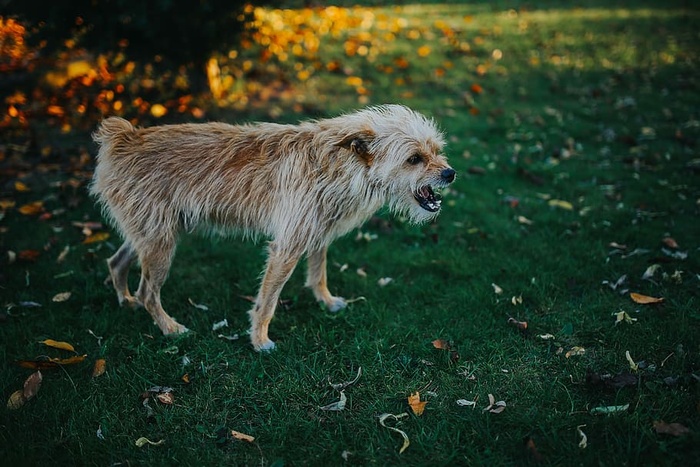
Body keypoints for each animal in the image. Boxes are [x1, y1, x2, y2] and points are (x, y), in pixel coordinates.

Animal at [90, 105, 456, 352]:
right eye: (414, 159)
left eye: (436, 151)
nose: (450, 173)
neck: (340, 164)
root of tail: (124, 137)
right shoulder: (287, 246)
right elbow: (267, 301)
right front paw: (259, 339)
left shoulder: (317, 233)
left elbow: (318, 272)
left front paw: (325, 301)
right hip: (160, 244)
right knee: (148, 292)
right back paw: (168, 326)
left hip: (150, 234)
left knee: (116, 261)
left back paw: (125, 300)